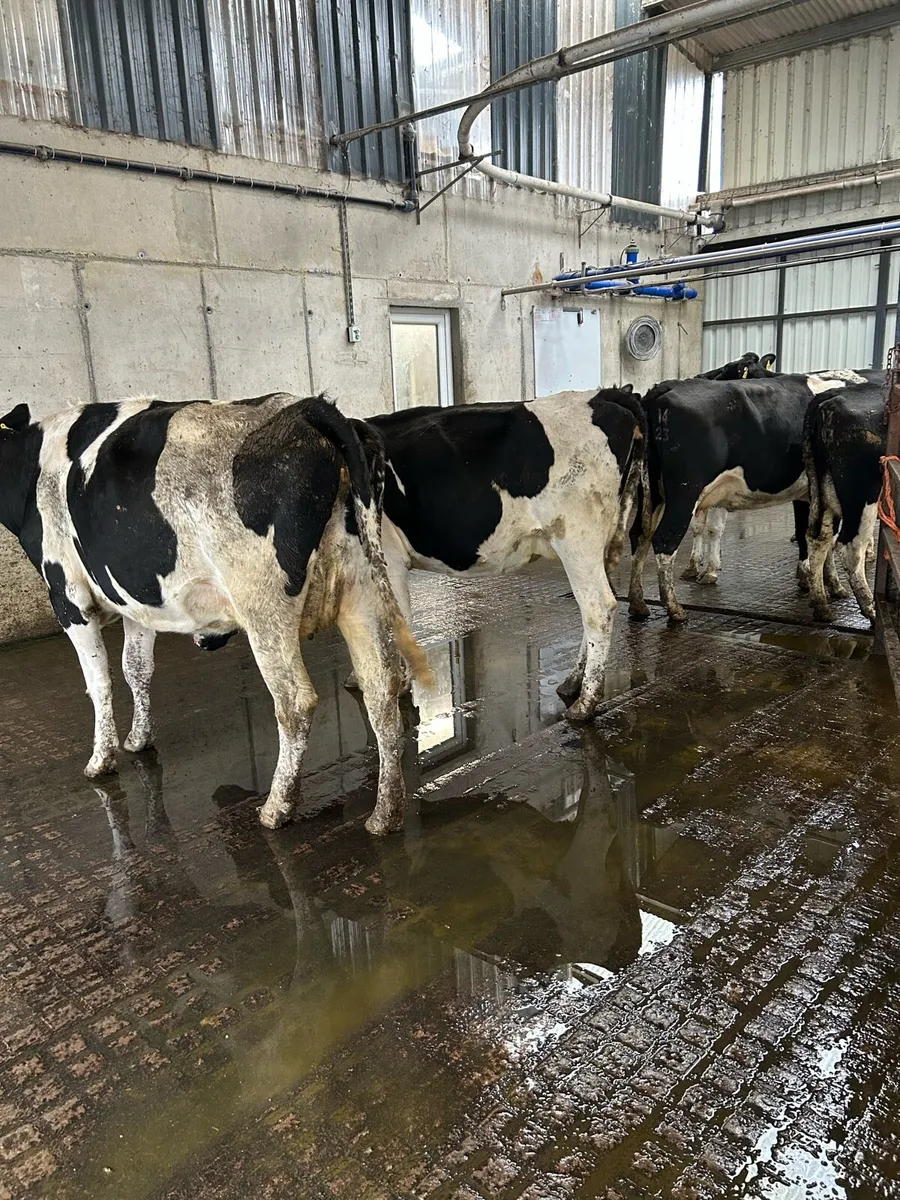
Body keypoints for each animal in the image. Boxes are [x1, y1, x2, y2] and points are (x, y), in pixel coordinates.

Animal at [0, 393, 431, 836]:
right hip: (360, 591)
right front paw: (138, 738)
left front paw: (100, 759)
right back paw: (385, 814)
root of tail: (306, 408)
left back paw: (277, 807)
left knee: (295, 702)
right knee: (380, 690)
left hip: (263, 607)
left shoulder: (68, 596)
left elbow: (98, 682)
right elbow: (136, 668)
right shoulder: (134, 600)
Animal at [361, 388, 646, 722]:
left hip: (576, 538)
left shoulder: (388, 557)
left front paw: (397, 682)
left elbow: (395, 620)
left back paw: (585, 703)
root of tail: (604, 395)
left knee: (598, 607)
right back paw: (573, 682)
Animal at [628, 370, 869, 622]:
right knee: (665, 541)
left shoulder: (808, 495)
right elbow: (826, 539)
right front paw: (833, 585)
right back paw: (674, 608)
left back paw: (638, 603)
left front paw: (811, 578)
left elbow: (809, 534)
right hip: (685, 492)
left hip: (650, 492)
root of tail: (665, 389)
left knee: (639, 535)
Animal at [802, 378, 886, 624]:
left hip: (825, 491)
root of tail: (829, 397)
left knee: (819, 538)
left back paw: (821, 604)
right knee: (850, 547)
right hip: (863, 496)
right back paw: (870, 608)